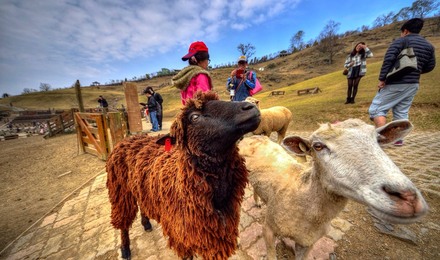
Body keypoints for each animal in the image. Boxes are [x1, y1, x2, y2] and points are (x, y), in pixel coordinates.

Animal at [105, 91, 260, 258]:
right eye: (194, 117)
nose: (251, 107)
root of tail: (127, 139)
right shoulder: (181, 234)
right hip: (120, 191)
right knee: (123, 222)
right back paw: (125, 249)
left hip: (140, 187)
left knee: (141, 202)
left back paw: (146, 223)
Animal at [239, 119, 428, 258]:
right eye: (318, 146)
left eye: (378, 140)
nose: (407, 197)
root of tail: (254, 136)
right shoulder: (268, 229)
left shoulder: (307, 243)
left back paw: (258, 201)